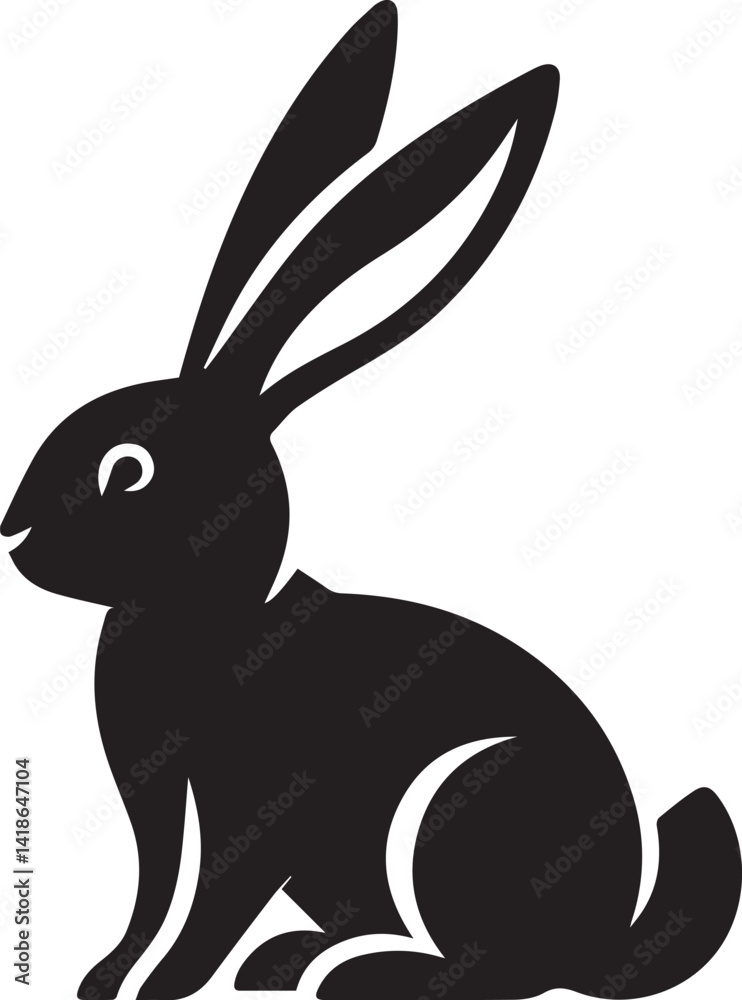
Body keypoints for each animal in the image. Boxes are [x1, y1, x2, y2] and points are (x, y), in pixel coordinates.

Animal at [2, 3, 740, 999]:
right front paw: (103, 979)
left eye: (130, 469)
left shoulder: (258, 801)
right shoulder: (156, 806)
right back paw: (289, 961)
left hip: (461, 811)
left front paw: (160, 988)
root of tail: (605, 944)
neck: (209, 617)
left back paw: (351, 974)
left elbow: (210, 898)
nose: (14, 536)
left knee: (489, 964)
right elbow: (153, 893)